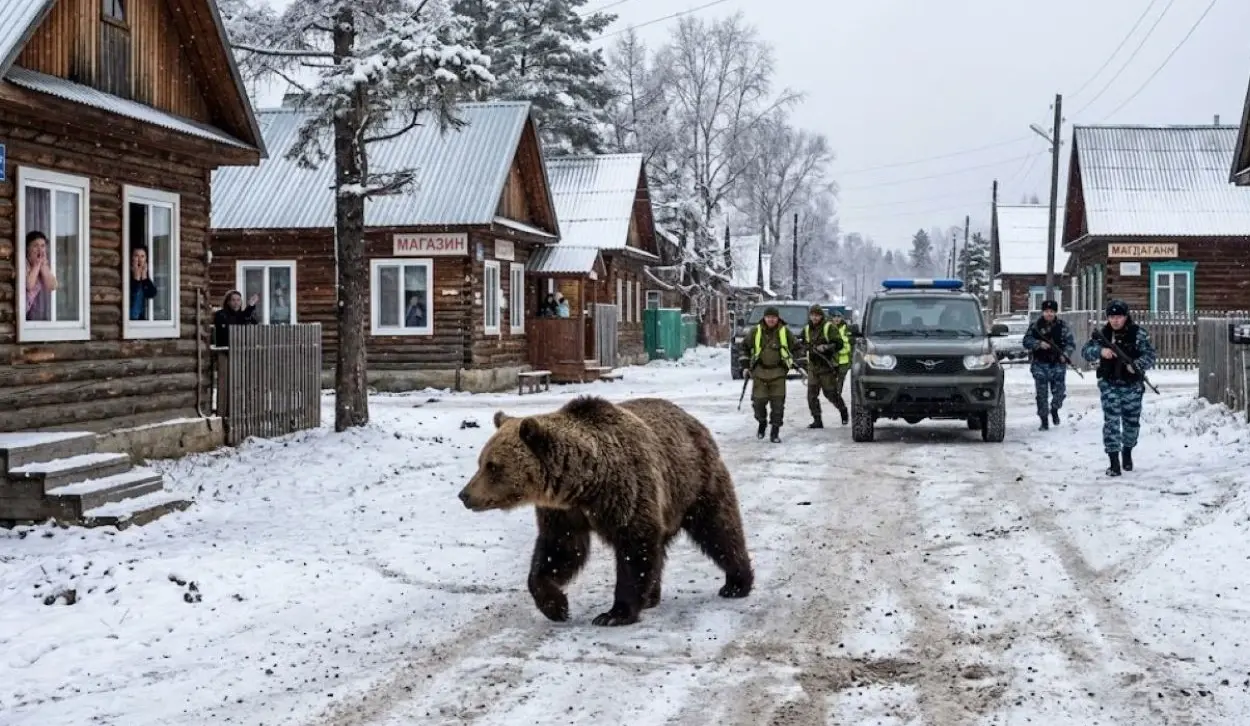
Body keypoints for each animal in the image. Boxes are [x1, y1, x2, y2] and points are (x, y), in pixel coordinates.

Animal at [457, 395, 754, 626]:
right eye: (481, 461)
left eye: (493, 466)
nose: (464, 495)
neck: (585, 484)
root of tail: (695, 422)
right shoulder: (563, 512)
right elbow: (558, 552)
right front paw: (556, 606)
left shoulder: (628, 492)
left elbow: (634, 550)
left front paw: (614, 614)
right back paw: (652, 596)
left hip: (695, 483)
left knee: (719, 529)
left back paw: (736, 583)